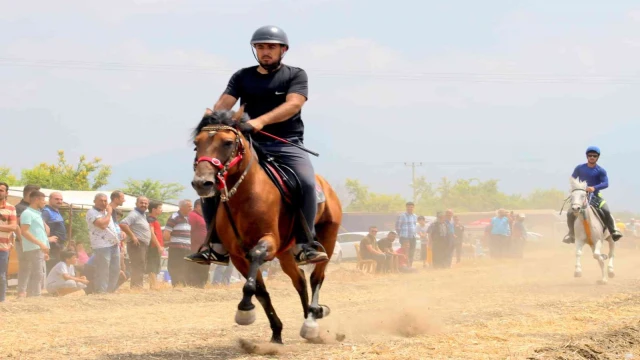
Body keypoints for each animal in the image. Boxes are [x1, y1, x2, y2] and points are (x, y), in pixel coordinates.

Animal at [190, 106, 342, 344]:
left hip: (328, 239)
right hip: (286, 252)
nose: (202, 183)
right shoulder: (237, 255)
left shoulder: (268, 241)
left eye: (227, 142)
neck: (244, 196)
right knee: (299, 280)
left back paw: (310, 322)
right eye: (197, 144)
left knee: (316, 277)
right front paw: (274, 332)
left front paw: (244, 310)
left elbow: (256, 263)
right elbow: (260, 290)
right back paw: (307, 317)